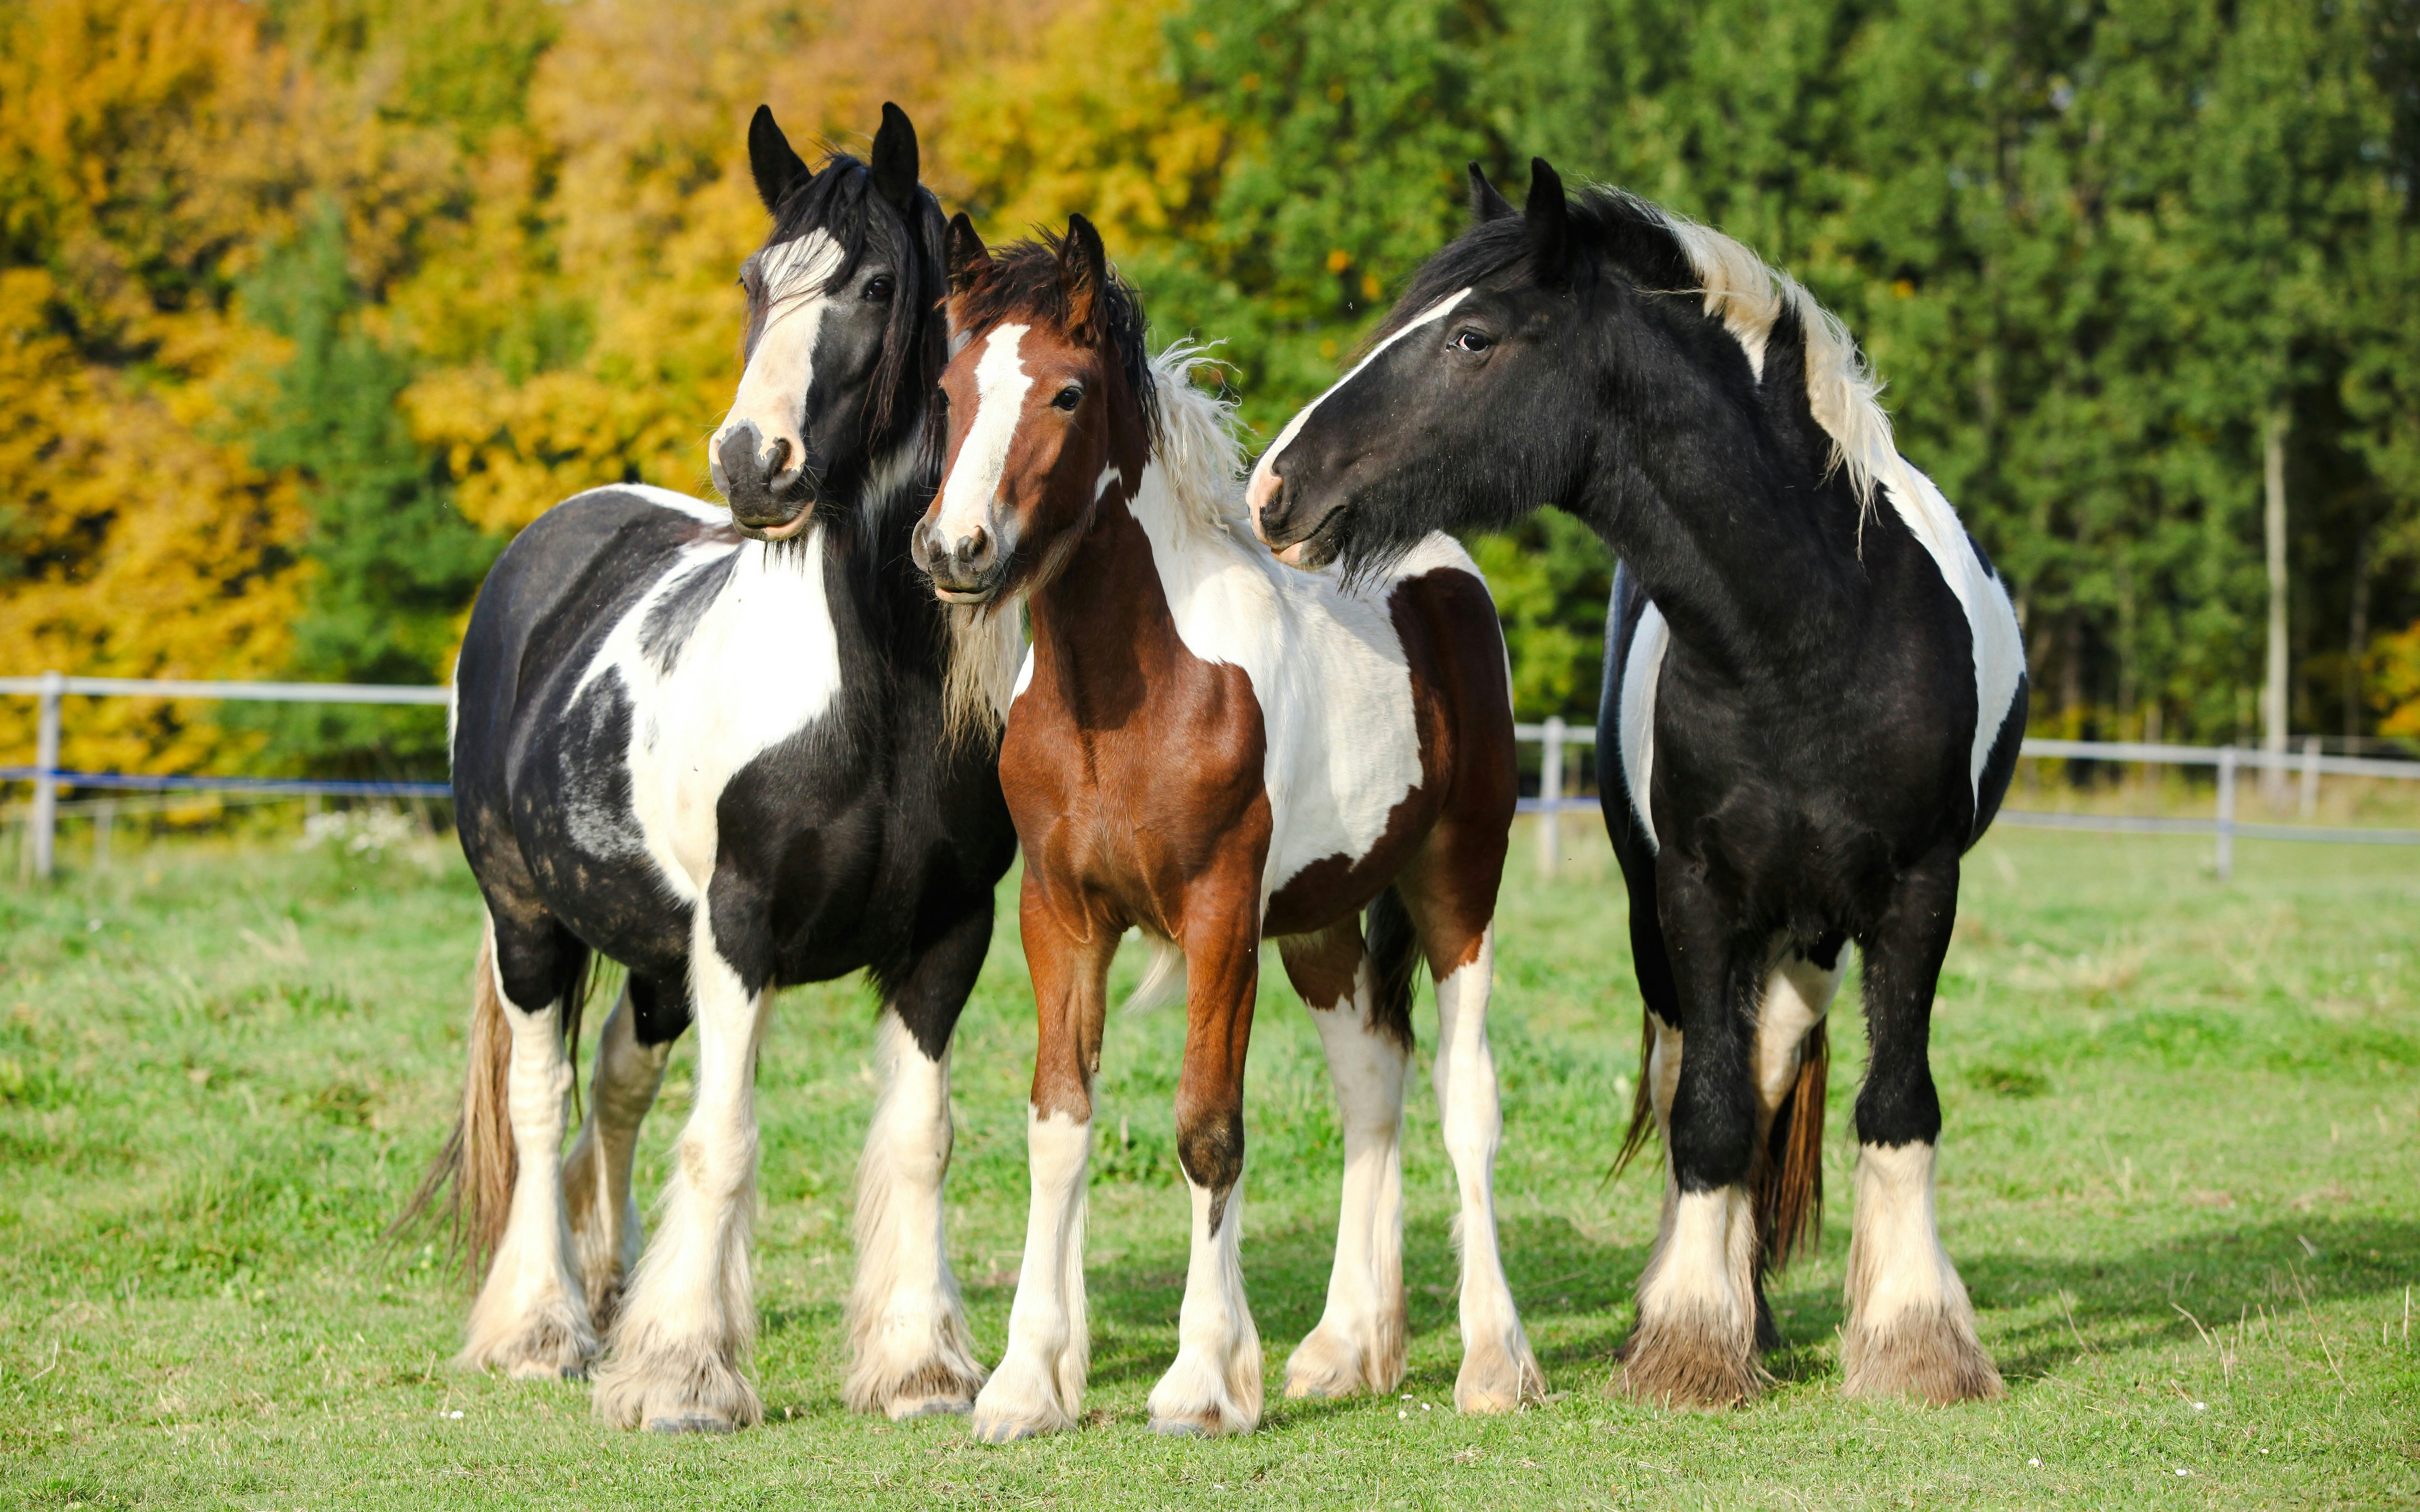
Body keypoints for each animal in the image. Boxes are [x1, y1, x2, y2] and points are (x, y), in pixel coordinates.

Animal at [416, 103, 1022, 1433]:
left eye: (876, 284)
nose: (753, 461)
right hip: (529, 921)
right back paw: (539, 1326)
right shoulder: (741, 932)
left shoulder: (949, 932)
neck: (878, 702)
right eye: (754, 280)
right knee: (539, 1100)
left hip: (653, 952)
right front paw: (683, 1373)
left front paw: (918, 1364)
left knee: (614, 1084)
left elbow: (920, 1138)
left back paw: (608, 1286)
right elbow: (727, 1137)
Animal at [909, 214, 1543, 1440]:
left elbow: (1208, 1127)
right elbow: (1058, 1124)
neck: (1132, 692)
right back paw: (1349, 1349)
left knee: (1465, 1098)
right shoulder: (1061, 915)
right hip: (1323, 922)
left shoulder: (1216, 916)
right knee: (1371, 1084)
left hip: (1460, 884)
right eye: (951, 389)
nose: (954, 550)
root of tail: (1439, 566)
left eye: (1066, 394)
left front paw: (1204, 1380)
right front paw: (1027, 1383)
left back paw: (1495, 1363)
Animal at [1247, 161, 2027, 1408]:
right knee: (1706, 1077)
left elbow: (1896, 1102)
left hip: (1814, 928)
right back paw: (1730, 1305)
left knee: (1774, 1067)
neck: (1815, 637)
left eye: (1472, 337)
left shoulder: (1919, 890)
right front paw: (1692, 1339)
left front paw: (1915, 1340)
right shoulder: (1696, 896)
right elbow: (1703, 1112)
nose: (1278, 487)